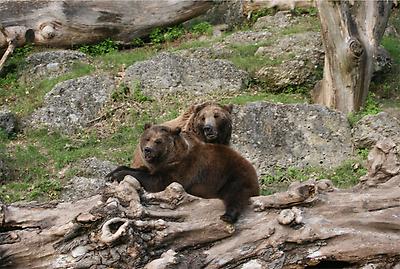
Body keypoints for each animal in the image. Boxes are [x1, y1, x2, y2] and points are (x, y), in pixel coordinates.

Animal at [107, 124, 260, 223]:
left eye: (158, 141)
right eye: (147, 138)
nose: (147, 150)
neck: (168, 158)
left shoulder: (181, 169)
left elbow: (157, 182)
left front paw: (117, 175)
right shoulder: (155, 166)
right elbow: (141, 170)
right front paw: (112, 173)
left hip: (234, 175)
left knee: (235, 194)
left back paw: (228, 216)